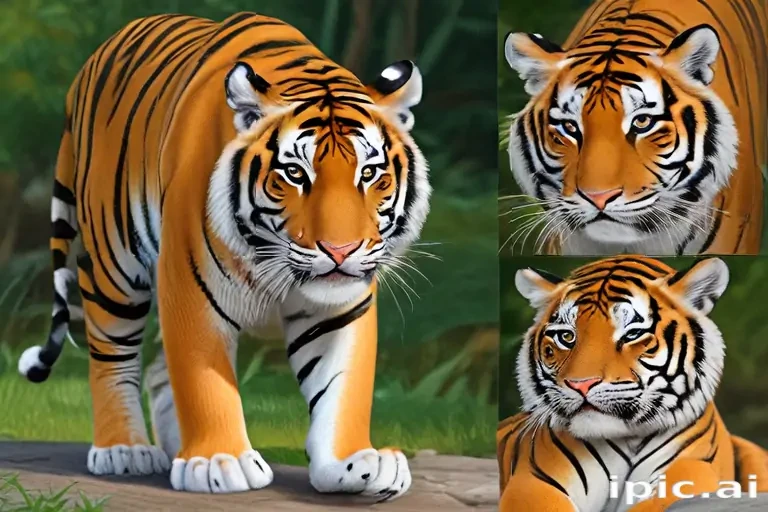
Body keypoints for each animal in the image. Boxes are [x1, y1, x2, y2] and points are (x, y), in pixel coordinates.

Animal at [16, 12, 430, 498]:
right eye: (295, 173)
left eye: (369, 173)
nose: (340, 250)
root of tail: (87, 69)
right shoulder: (189, 287)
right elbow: (204, 380)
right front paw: (219, 461)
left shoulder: (342, 306)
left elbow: (344, 386)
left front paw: (354, 462)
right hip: (113, 264)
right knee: (111, 352)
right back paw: (124, 450)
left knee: (158, 371)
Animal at [497, 255, 768, 511]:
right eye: (567, 336)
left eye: (632, 334)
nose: (581, 385)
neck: (627, 439)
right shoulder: (533, 482)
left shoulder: (694, 470)